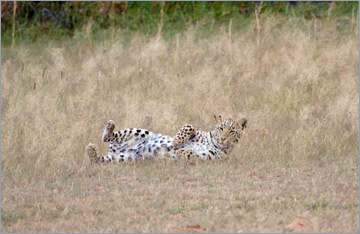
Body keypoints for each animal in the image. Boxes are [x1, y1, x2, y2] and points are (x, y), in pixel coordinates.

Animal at [85, 114, 246, 164]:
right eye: (221, 128)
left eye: (232, 131)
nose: (223, 139)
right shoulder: (194, 131)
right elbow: (189, 126)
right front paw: (174, 142)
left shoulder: (208, 158)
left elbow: (192, 155)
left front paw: (178, 151)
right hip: (139, 131)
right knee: (108, 137)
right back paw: (110, 126)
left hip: (125, 158)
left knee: (98, 159)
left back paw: (91, 150)